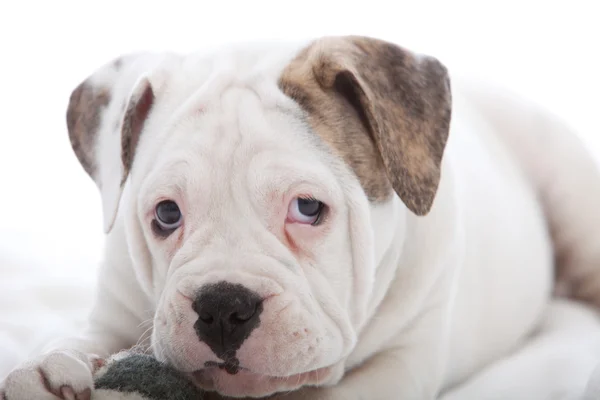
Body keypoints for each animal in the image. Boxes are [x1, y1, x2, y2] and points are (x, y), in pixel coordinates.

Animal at [1, 35, 600, 400]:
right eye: (166, 214)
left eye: (308, 209)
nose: (222, 306)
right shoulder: (113, 312)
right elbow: (78, 334)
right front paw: (45, 366)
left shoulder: (403, 363)